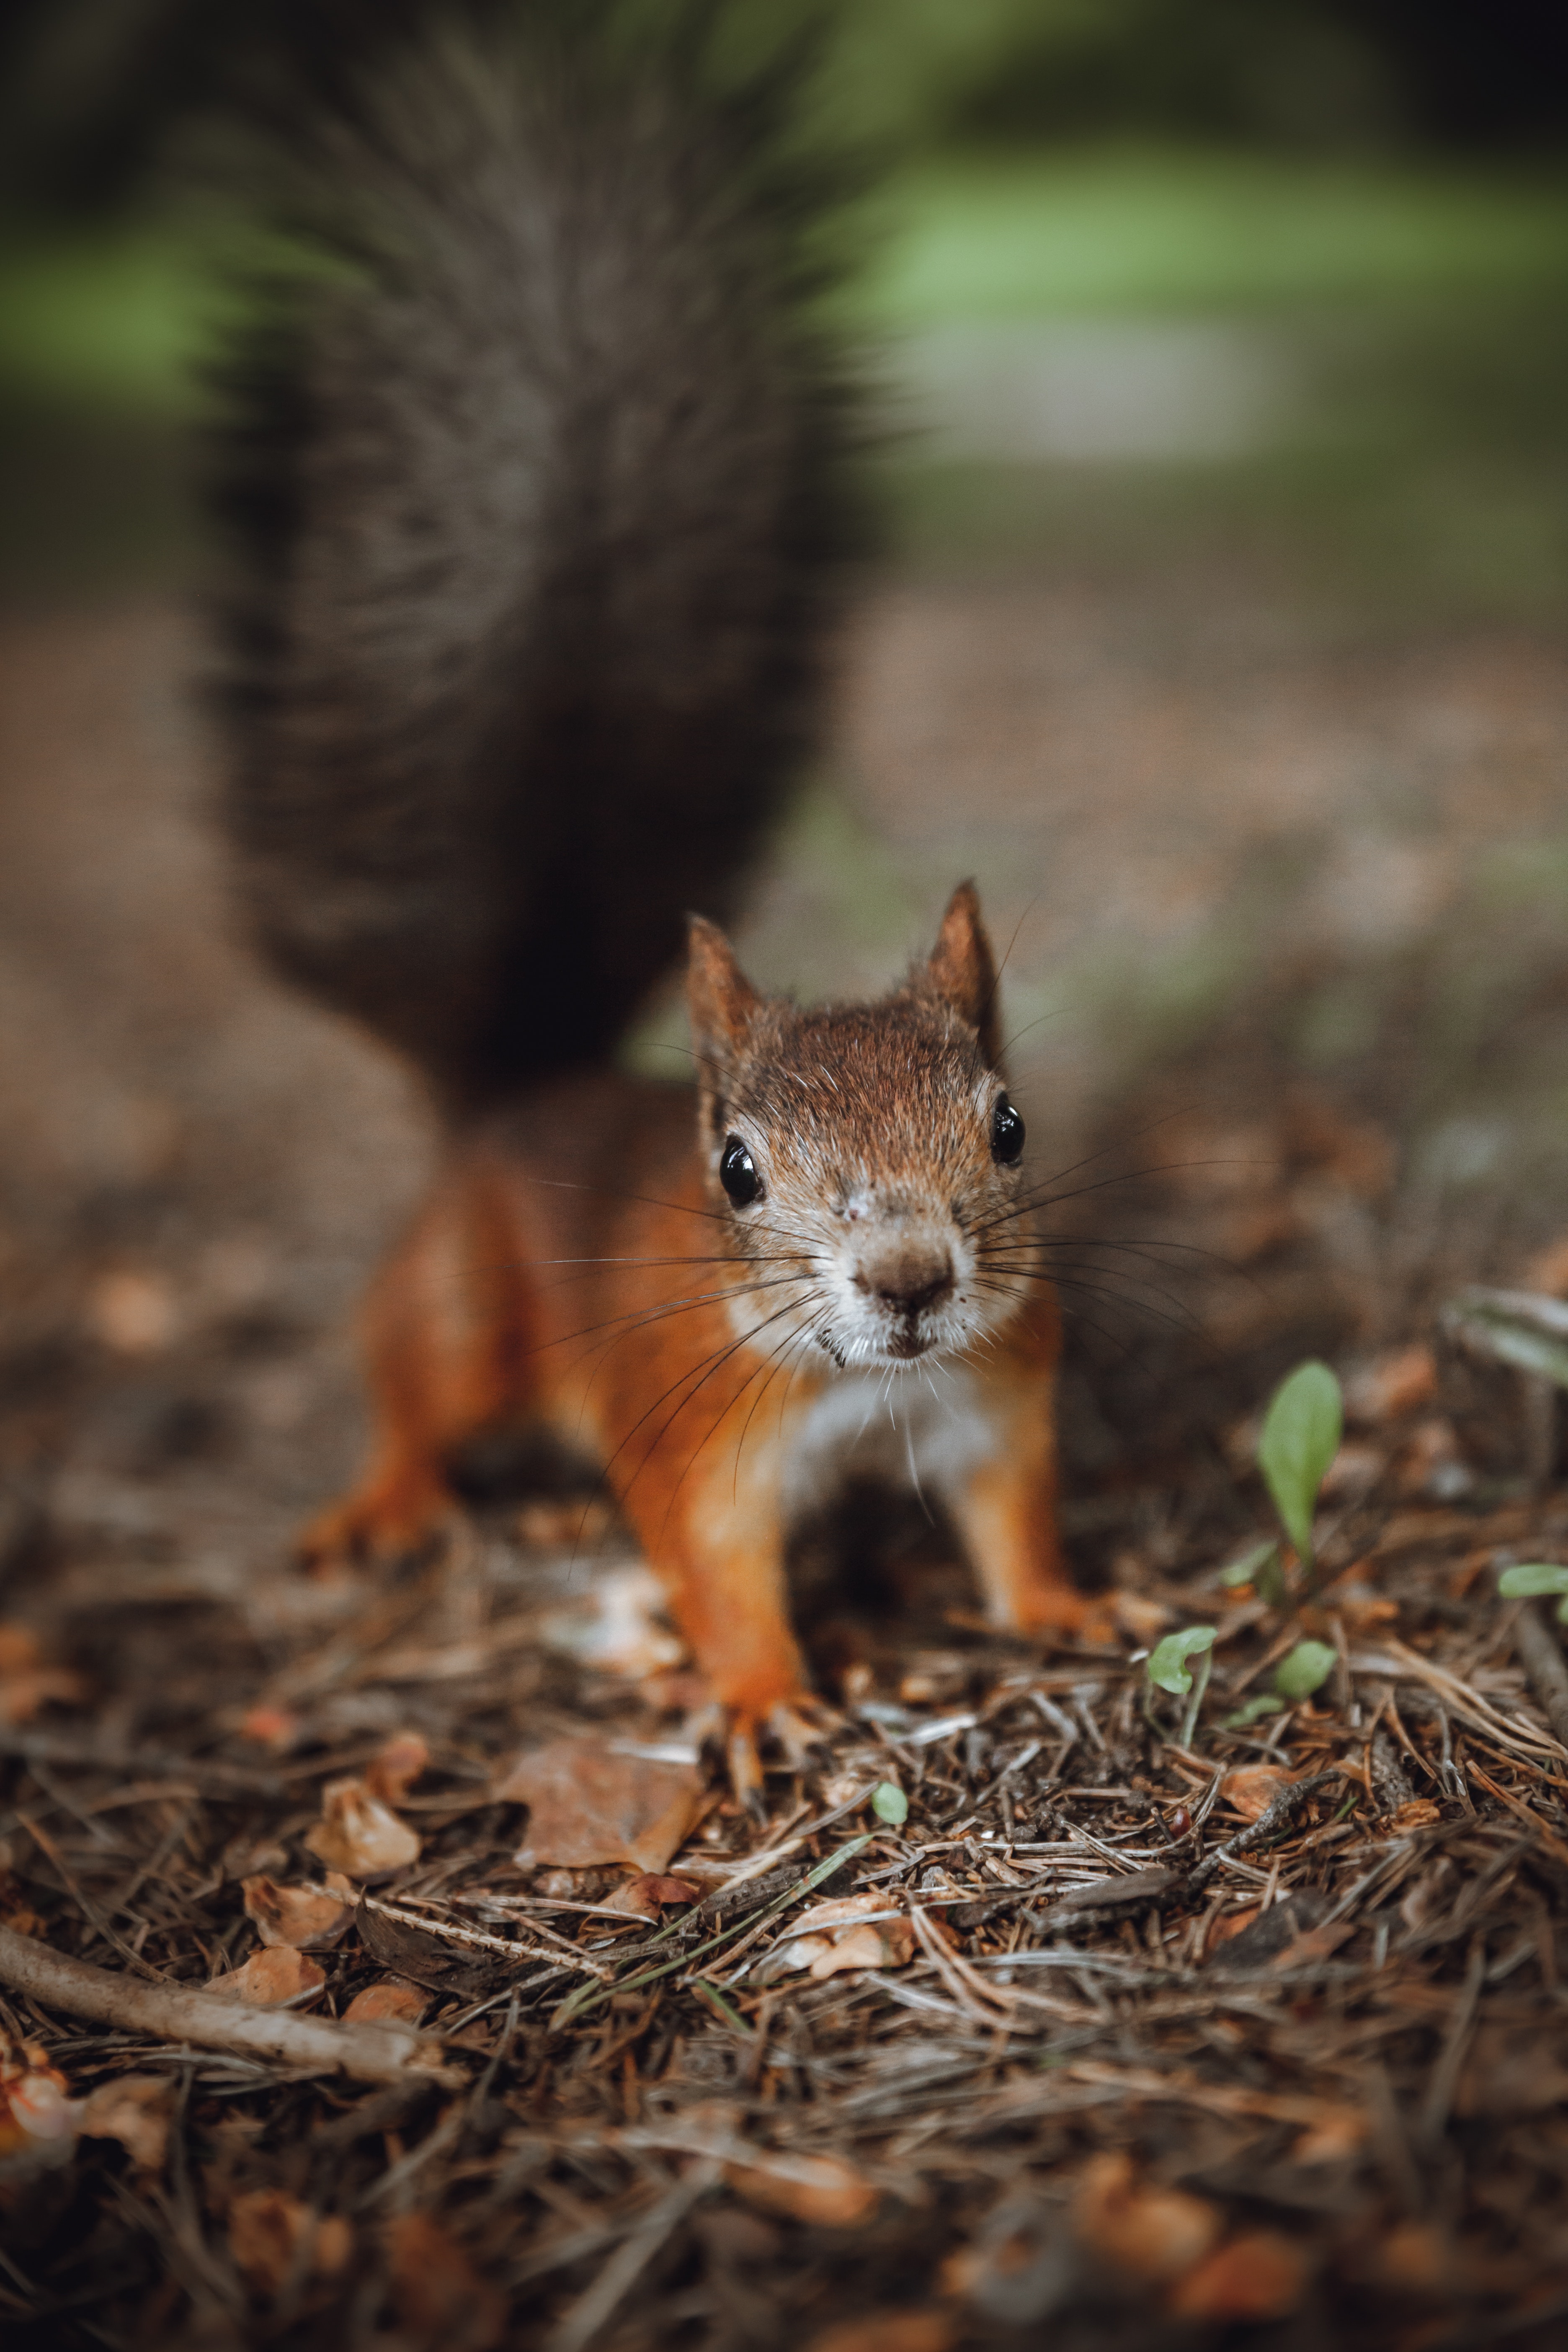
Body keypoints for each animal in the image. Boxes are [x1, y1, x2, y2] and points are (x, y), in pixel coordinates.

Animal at [208, 0, 1100, 1795]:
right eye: (737, 1171)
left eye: (1009, 1124)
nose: (914, 1281)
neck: (857, 1390)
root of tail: (508, 1094)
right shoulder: (692, 1437)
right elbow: (712, 1569)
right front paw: (759, 1696)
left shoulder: (996, 1406)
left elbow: (1010, 1520)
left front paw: (1056, 1605)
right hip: (467, 1309)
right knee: (405, 1379)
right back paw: (391, 1494)